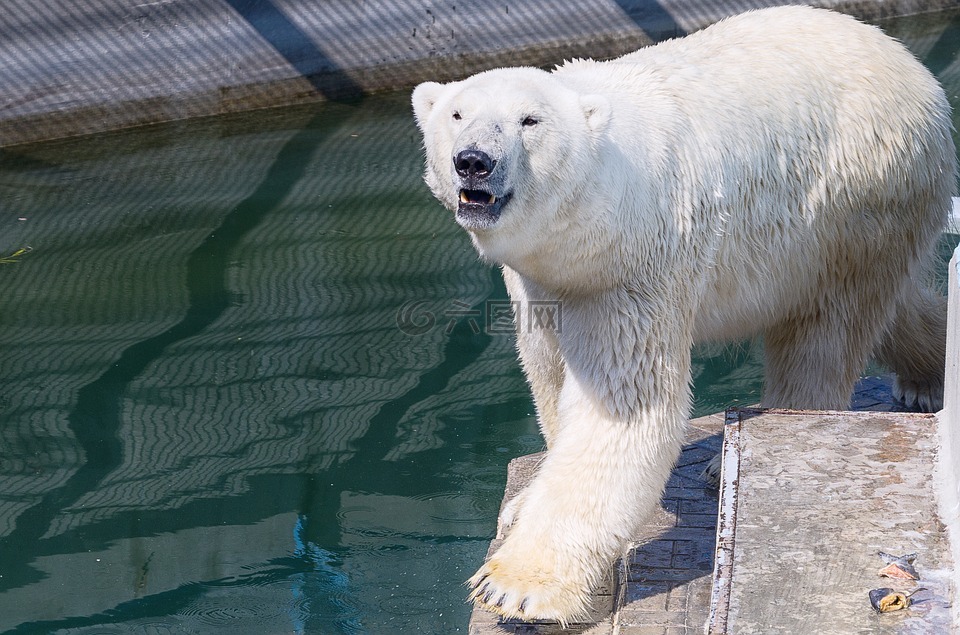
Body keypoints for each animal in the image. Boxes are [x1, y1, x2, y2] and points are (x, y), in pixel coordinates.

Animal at [410, 4, 952, 624]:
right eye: (457, 113)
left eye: (529, 120)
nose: (473, 162)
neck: (595, 215)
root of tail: (911, 66)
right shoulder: (541, 279)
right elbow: (546, 368)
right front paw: (522, 503)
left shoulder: (636, 265)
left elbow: (624, 409)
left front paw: (514, 585)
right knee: (890, 308)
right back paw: (924, 381)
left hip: (854, 199)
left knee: (827, 329)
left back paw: (731, 457)